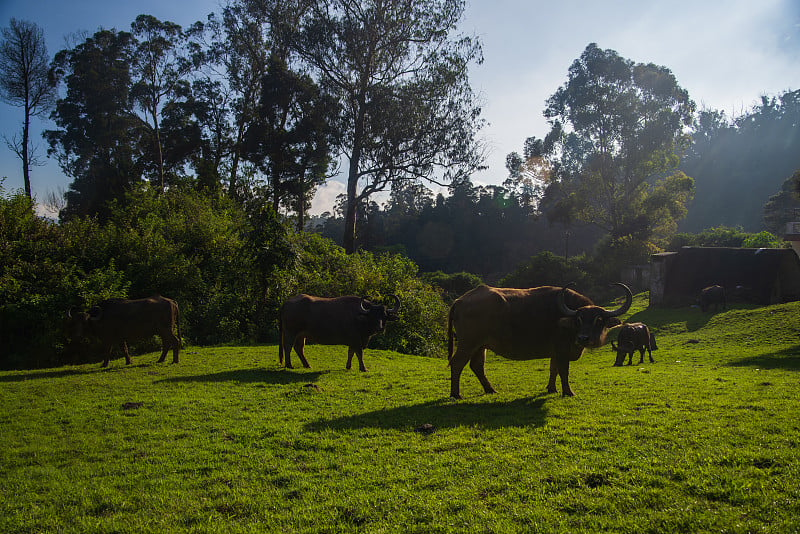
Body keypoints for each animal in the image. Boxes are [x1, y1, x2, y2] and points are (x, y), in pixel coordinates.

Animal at [450, 284, 632, 398]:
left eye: (599, 320)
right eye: (579, 320)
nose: (583, 338)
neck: (566, 322)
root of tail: (460, 300)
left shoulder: (555, 352)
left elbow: (553, 370)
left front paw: (551, 389)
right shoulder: (562, 350)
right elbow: (563, 371)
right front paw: (568, 392)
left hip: (481, 346)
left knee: (477, 366)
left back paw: (490, 390)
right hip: (468, 343)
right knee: (457, 363)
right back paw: (456, 394)